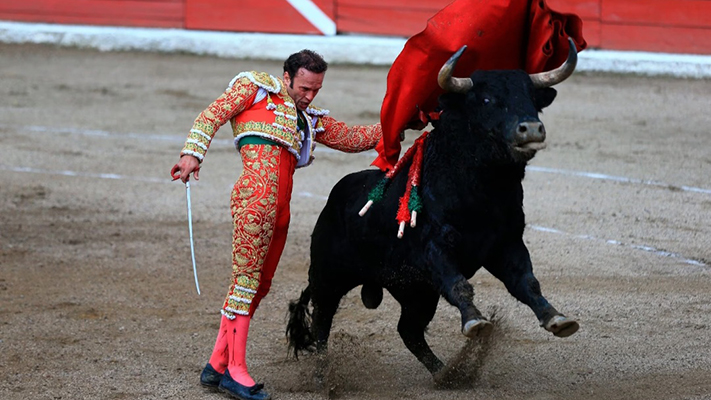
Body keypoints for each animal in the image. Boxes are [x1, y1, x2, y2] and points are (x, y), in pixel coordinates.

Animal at [286, 39, 580, 376]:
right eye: (487, 99)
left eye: (532, 99)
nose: (531, 129)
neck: (483, 191)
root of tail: (333, 199)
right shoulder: (434, 248)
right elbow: (459, 284)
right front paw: (475, 321)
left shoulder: (506, 244)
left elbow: (527, 282)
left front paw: (557, 318)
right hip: (329, 277)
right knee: (322, 323)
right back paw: (322, 373)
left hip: (417, 292)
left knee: (409, 330)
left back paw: (445, 374)